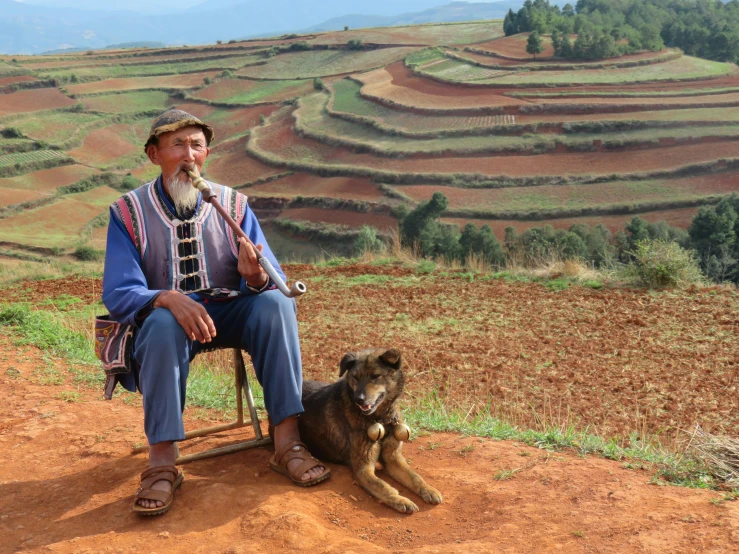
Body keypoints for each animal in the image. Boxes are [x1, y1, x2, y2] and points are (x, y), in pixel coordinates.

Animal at [298, 348, 442, 512]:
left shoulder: (392, 458)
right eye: (355, 377)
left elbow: (414, 476)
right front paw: (400, 500)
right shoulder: (363, 469)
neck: (381, 419)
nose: (358, 399)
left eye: (375, 376)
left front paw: (429, 489)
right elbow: (383, 486)